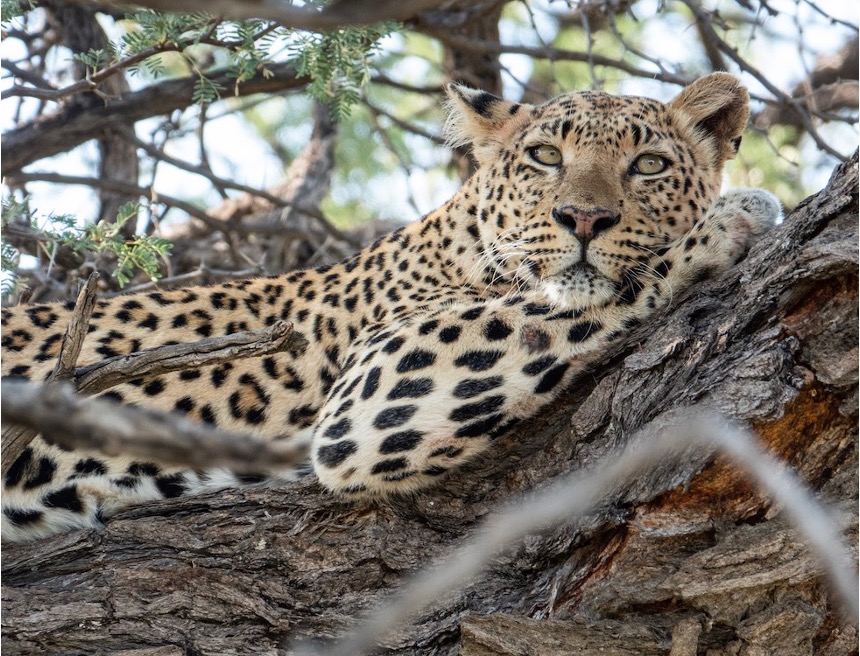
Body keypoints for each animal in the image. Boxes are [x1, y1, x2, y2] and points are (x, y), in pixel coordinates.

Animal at [0, 72, 780, 544]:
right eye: (545, 157)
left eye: (649, 166)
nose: (583, 219)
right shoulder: (378, 382)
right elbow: (572, 299)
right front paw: (731, 220)